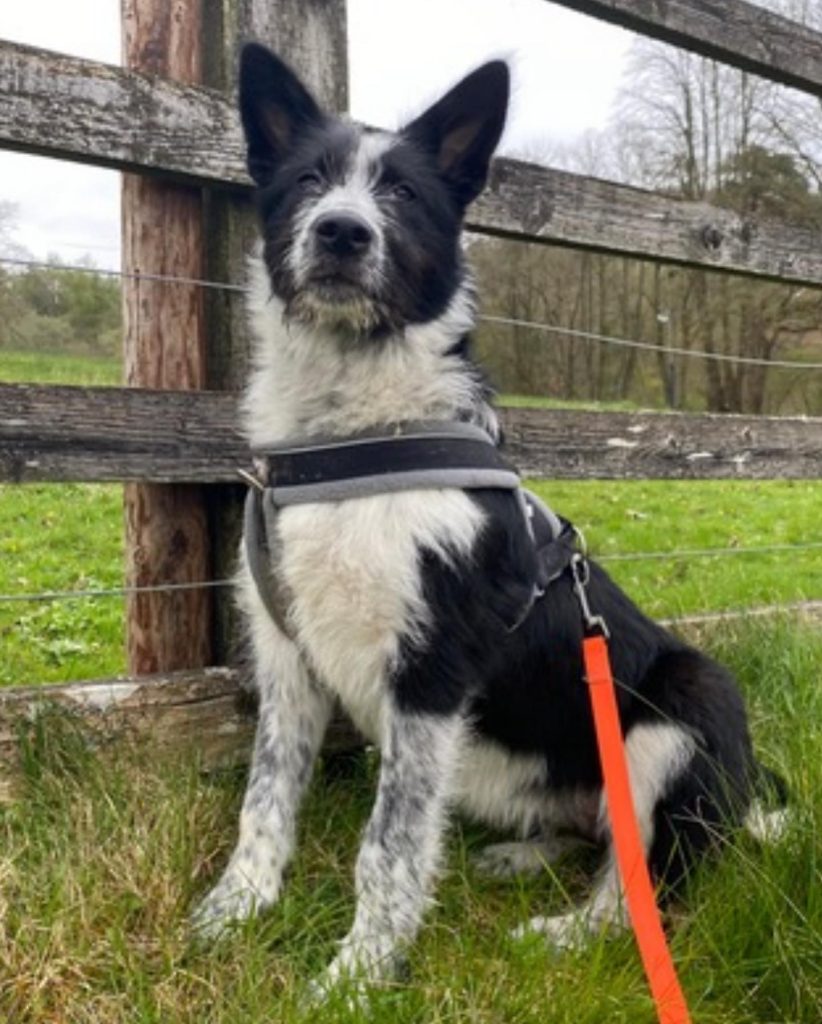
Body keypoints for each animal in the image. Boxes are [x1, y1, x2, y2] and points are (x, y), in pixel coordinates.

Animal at [191, 46, 786, 991]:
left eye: (402, 193)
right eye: (309, 180)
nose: (341, 233)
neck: (358, 436)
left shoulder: (429, 672)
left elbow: (388, 842)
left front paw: (359, 976)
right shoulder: (287, 665)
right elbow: (266, 800)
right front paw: (238, 907)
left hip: (680, 709)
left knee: (644, 881)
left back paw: (566, 932)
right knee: (594, 838)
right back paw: (523, 855)